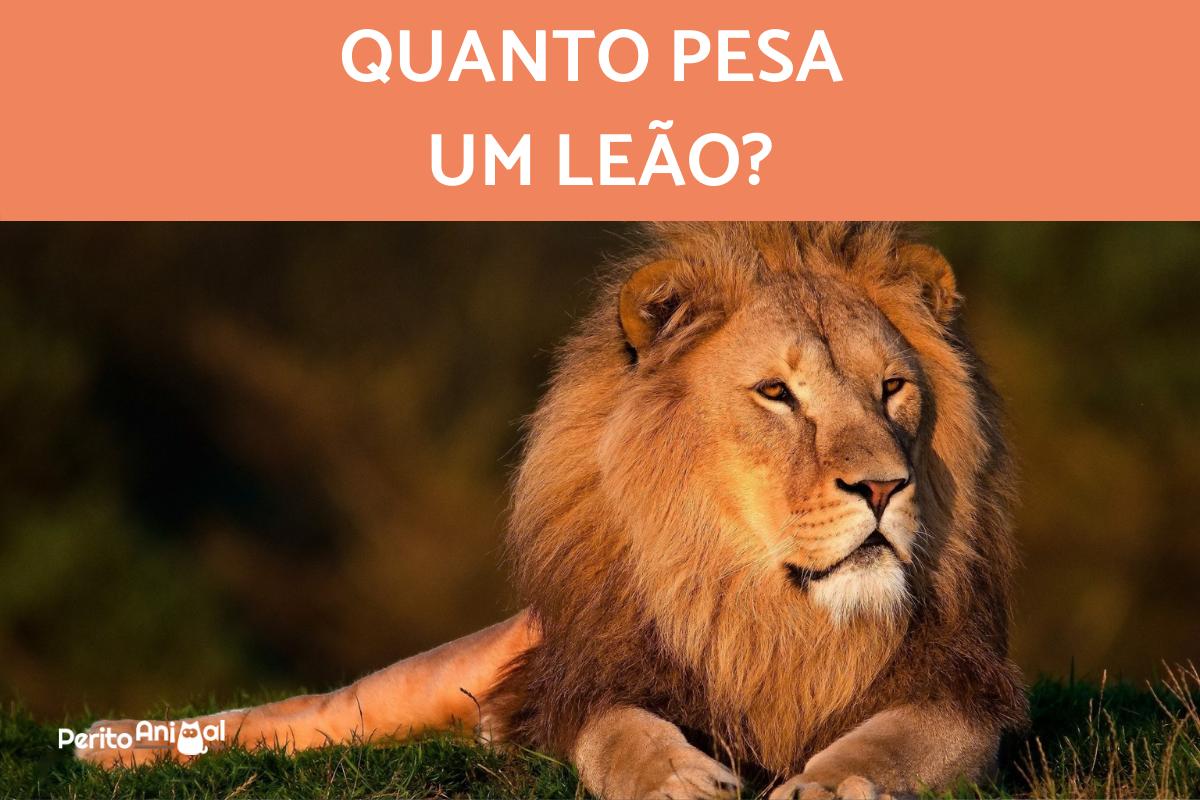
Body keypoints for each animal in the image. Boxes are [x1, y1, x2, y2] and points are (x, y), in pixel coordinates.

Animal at [79, 222, 1027, 800]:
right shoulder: (590, 680)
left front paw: (831, 780)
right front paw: (674, 778)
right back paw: (111, 739)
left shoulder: (961, 693)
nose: (884, 488)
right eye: (776, 394)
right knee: (304, 713)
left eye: (892, 388)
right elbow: (619, 732)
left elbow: (894, 740)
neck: (766, 609)